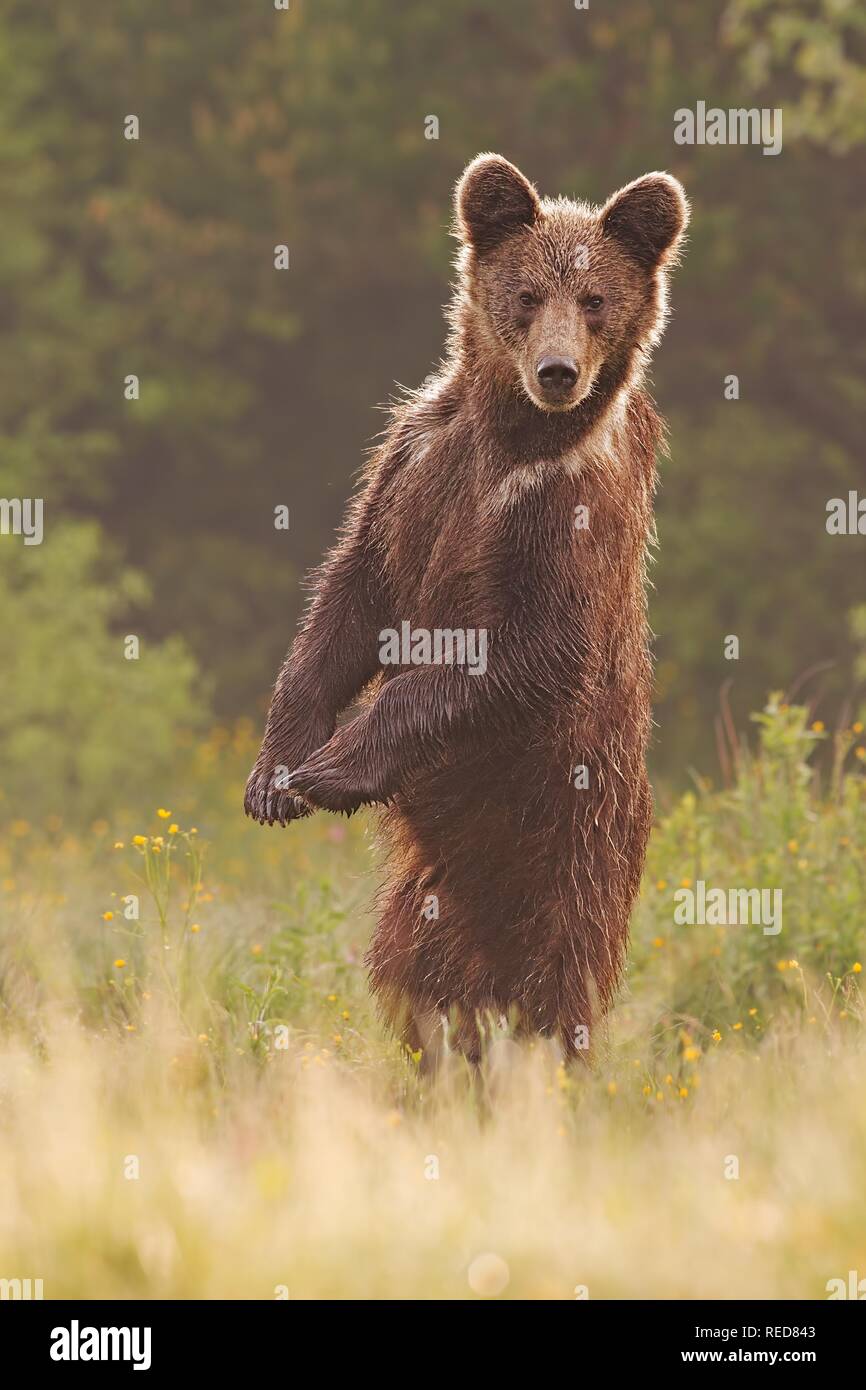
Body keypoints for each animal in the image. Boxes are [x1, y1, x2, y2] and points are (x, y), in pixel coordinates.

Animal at [246, 152, 692, 1061]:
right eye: (526, 294)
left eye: (596, 300)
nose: (557, 372)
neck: (514, 434)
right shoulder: (414, 462)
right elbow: (353, 592)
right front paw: (278, 771)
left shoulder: (570, 513)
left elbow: (529, 649)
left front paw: (333, 765)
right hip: (433, 892)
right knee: (420, 978)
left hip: (574, 833)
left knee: (554, 981)